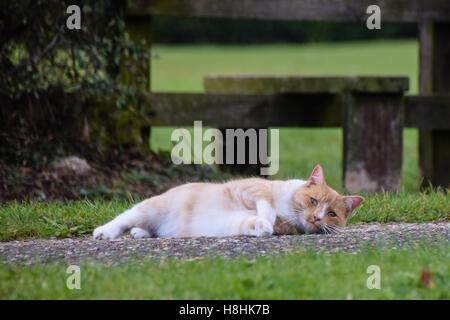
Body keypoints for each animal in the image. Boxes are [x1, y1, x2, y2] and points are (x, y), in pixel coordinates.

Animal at [93, 166, 364, 239]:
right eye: (313, 200)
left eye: (331, 214)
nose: (317, 217)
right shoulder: (249, 187)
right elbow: (266, 204)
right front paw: (267, 217)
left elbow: (259, 223)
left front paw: (262, 227)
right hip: (149, 208)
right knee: (124, 218)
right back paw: (105, 232)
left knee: (145, 229)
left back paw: (141, 233)